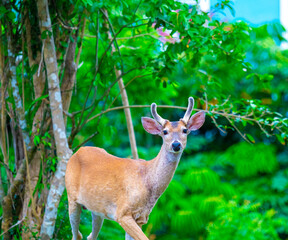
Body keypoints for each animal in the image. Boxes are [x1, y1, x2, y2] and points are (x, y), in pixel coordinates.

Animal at [65, 97, 205, 240]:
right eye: (165, 132)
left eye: (185, 130)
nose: (176, 145)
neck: (147, 180)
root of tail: (76, 152)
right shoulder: (122, 212)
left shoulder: (141, 218)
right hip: (71, 197)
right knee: (77, 235)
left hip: (97, 209)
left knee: (89, 236)